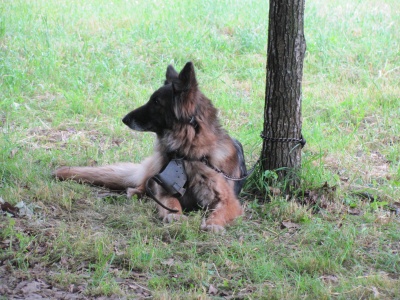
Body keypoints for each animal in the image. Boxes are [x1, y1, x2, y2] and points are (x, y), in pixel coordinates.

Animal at [54, 62, 247, 232]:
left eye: (156, 102)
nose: (124, 119)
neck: (188, 153)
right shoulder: (164, 191)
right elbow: (171, 203)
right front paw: (175, 215)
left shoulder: (228, 200)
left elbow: (221, 211)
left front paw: (214, 224)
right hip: (156, 166)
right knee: (142, 184)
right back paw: (137, 192)